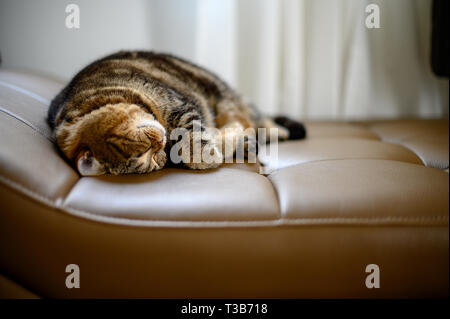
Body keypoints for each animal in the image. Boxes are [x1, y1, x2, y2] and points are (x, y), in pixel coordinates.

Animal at [47, 52, 304, 178]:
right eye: (147, 160)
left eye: (142, 150)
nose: (159, 144)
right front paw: (227, 144)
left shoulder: (182, 107)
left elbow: (194, 146)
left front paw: (211, 152)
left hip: (224, 95)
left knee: (259, 120)